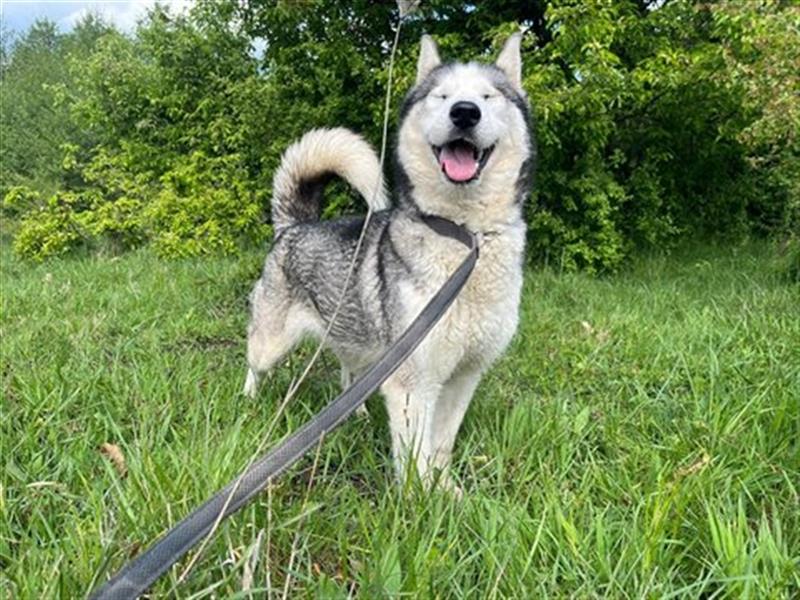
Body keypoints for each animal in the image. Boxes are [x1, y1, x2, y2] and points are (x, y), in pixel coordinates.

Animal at [244, 35, 532, 490]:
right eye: (441, 96)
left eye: (488, 96)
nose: (465, 112)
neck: (465, 236)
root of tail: (295, 225)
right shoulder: (412, 383)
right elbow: (416, 456)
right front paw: (421, 499)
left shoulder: (464, 378)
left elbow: (441, 445)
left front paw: (447, 491)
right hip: (273, 344)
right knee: (254, 363)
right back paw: (249, 401)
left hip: (362, 345)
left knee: (349, 376)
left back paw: (357, 415)